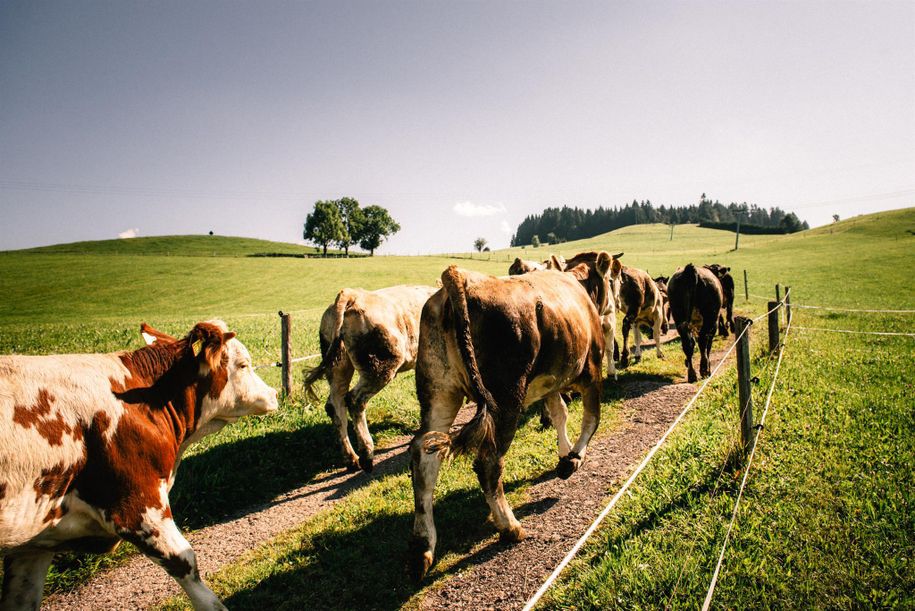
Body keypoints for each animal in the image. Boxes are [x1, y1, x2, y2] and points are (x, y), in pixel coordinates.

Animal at [0, 322, 280, 608]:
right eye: (243, 365)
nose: (274, 393)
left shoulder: (34, 544)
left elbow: (22, 598)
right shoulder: (138, 506)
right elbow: (185, 563)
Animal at [304, 286, 440, 474]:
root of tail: (353, 294)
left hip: (338, 364)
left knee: (335, 404)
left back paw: (351, 459)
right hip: (379, 366)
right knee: (355, 400)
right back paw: (366, 455)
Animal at [406, 255, 608, 584]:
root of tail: (460, 277)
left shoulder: (549, 382)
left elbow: (560, 413)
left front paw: (564, 452)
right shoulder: (591, 371)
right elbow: (592, 419)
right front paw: (573, 460)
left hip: (439, 392)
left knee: (425, 459)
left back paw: (423, 549)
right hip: (504, 399)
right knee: (488, 463)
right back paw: (510, 527)